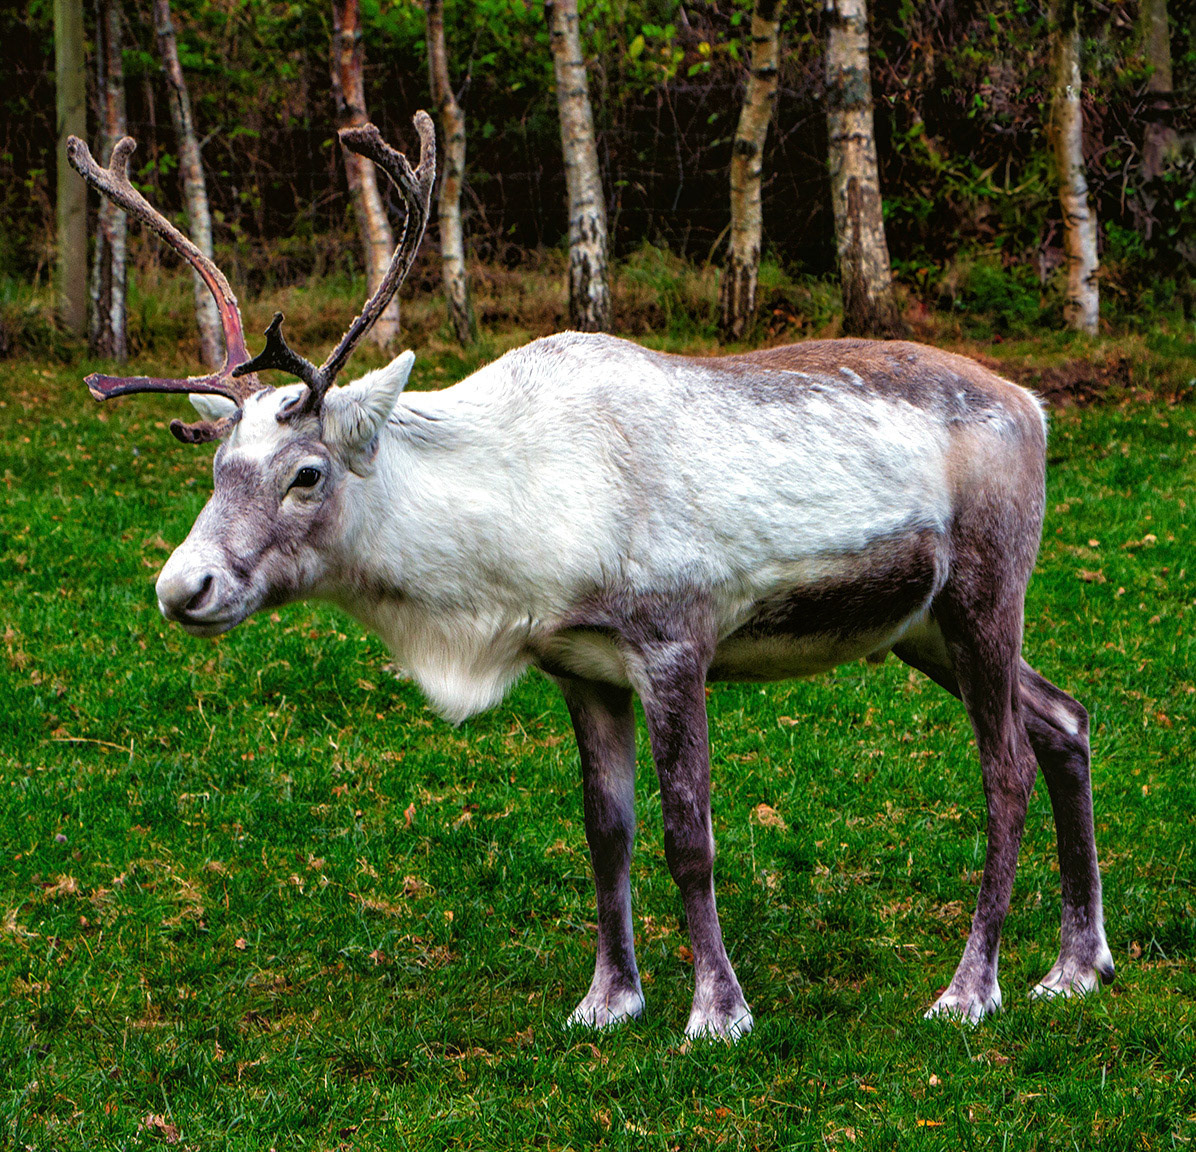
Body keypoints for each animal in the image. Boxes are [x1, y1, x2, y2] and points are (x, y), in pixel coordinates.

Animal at [68, 113, 1113, 1040]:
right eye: (217, 466)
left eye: (307, 473)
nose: (184, 588)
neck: (513, 538)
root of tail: (1035, 406)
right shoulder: (581, 667)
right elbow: (605, 834)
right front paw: (609, 1000)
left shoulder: (675, 644)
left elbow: (689, 836)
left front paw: (717, 1012)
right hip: (920, 627)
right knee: (1064, 718)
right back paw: (1077, 965)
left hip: (986, 593)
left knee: (1006, 768)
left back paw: (971, 990)